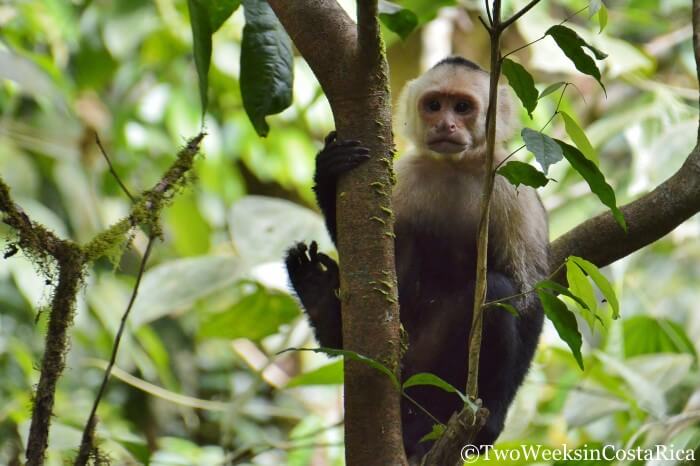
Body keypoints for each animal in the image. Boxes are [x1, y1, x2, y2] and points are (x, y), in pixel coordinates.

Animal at [285, 56, 549, 460]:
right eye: (434, 105)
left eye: (462, 107)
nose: (446, 124)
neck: (455, 166)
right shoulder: (406, 180)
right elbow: (381, 269)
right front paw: (328, 173)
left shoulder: (513, 188)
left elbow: (528, 294)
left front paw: (493, 421)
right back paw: (322, 304)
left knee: (496, 293)